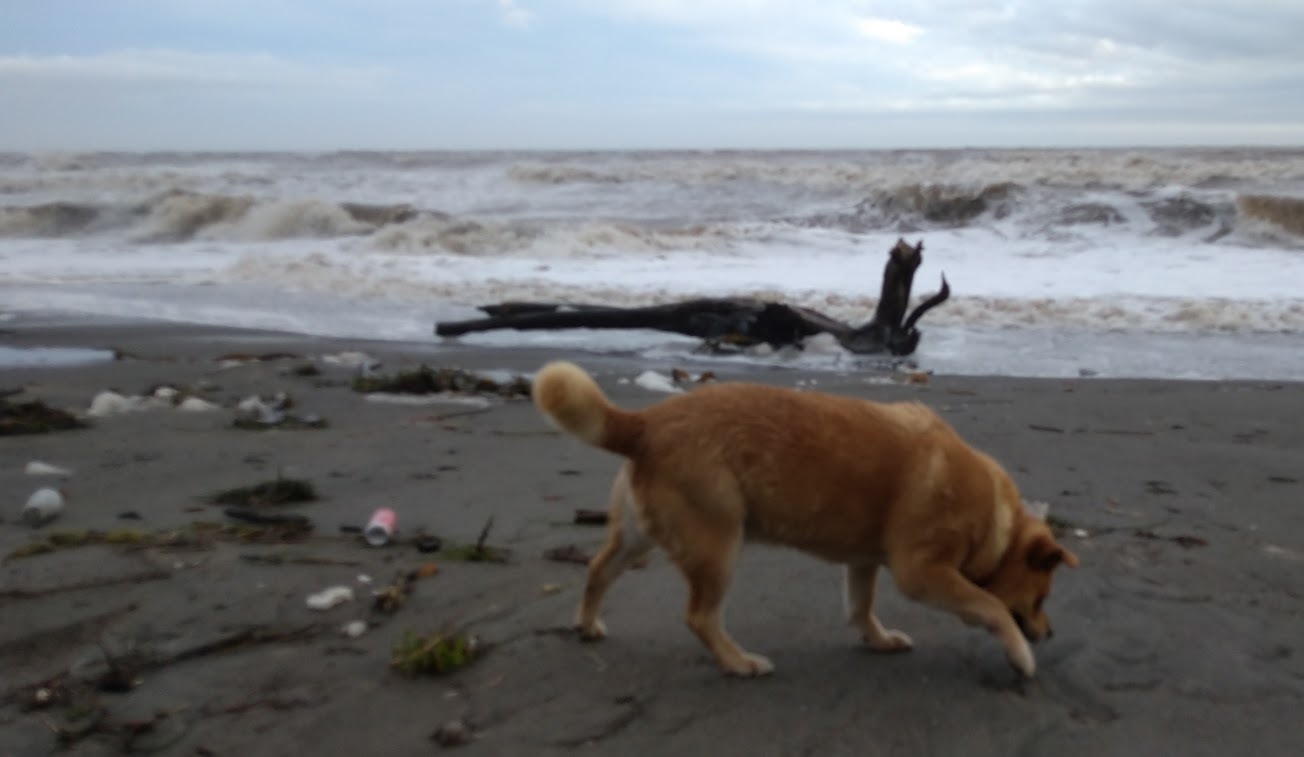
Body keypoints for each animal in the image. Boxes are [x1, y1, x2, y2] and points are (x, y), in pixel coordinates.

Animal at [532, 362, 1079, 677]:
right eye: (1041, 598)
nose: (1052, 634)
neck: (995, 522)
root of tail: (646, 423)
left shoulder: (864, 561)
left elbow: (860, 608)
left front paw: (878, 639)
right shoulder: (922, 572)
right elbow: (990, 605)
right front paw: (1020, 655)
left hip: (639, 537)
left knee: (598, 569)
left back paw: (587, 623)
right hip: (718, 546)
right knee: (700, 616)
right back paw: (738, 663)